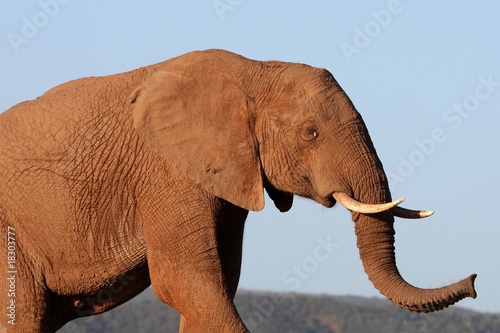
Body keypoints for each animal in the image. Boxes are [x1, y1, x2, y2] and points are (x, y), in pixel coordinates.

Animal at [0, 49, 476, 332]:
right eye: (311, 133)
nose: (474, 282)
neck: (254, 72)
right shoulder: (168, 174)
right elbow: (187, 284)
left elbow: (216, 287)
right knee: (25, 314)